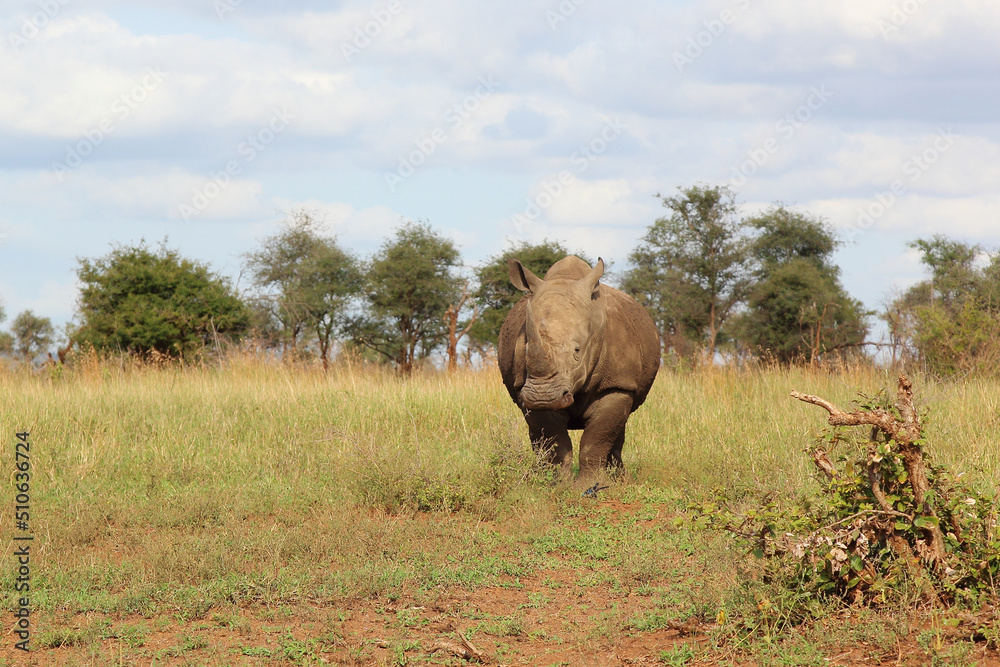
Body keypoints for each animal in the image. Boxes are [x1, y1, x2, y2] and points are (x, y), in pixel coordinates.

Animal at [498, 255, 660, 479]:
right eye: (526, 348)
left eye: (577, 350)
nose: (542, 397)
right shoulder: (525, 387)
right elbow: (554, 441)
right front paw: (556, 483)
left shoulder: (618, 384)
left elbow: (597, 438)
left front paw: (593, 483)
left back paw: (619, 478)